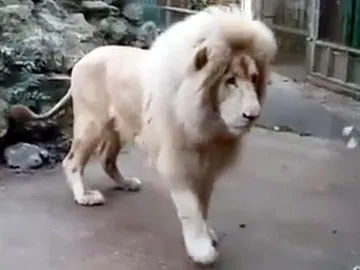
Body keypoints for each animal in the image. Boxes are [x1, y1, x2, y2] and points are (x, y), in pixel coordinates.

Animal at [9, 4, 278, 266]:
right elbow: (190, 208)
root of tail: (84, 58)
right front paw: (201, 249)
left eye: (254, 78)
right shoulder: (177, 161)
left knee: (107, 159)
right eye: (230, 81)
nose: (252, 115)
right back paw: (84, 196)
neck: (208, 122)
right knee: (72, 160)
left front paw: (207, 233)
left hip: (117, 127)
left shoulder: (207, 164)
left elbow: (203, 204)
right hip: (92, 123)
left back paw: (125, 183)